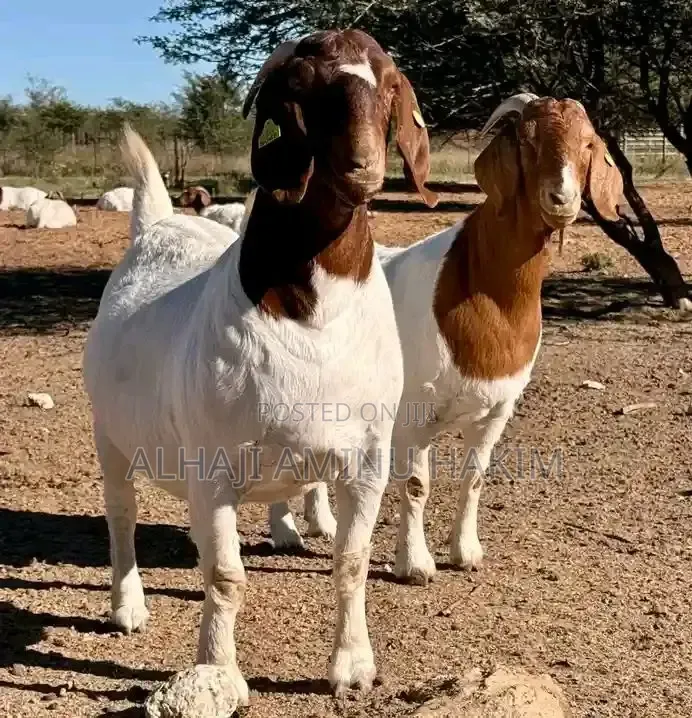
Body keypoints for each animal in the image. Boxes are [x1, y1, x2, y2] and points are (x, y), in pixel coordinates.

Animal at [82, 29, 436, 701]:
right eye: (302, 87)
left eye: (389, 86)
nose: (362, 165)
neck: (313, 318)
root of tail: (157, 224)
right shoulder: (213, 465)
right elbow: (225, 576)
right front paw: (219, 670)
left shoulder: (367, 460)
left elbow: (350, 563)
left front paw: (353, 667)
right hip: (110, 435)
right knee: (121, 515)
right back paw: (128, 605)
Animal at [269, 94, 623, 584]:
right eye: (527, 141)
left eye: (588, 144)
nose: (562, 198)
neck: (481, 292)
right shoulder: (414, 414)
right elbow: (417, 485)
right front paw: (415, 565)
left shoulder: (497, 410)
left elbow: (474, 477)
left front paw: (466, 552)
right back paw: (284, 532)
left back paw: (321, 523)